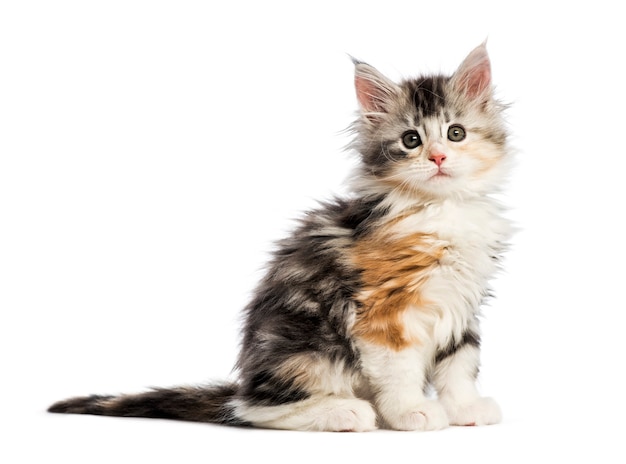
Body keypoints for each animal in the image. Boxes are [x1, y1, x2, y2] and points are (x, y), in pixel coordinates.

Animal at [48, 43, 510, 432]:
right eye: (410, 140)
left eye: (455, 133)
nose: (438, 157)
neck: (440, 208)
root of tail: (249, 377)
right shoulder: (383, 310)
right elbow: (400, 368)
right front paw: (411, 412)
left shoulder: (463, 303)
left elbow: (460, 363)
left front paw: (465, 408)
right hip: (310, 349)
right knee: (254, 409)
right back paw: (346, 411)